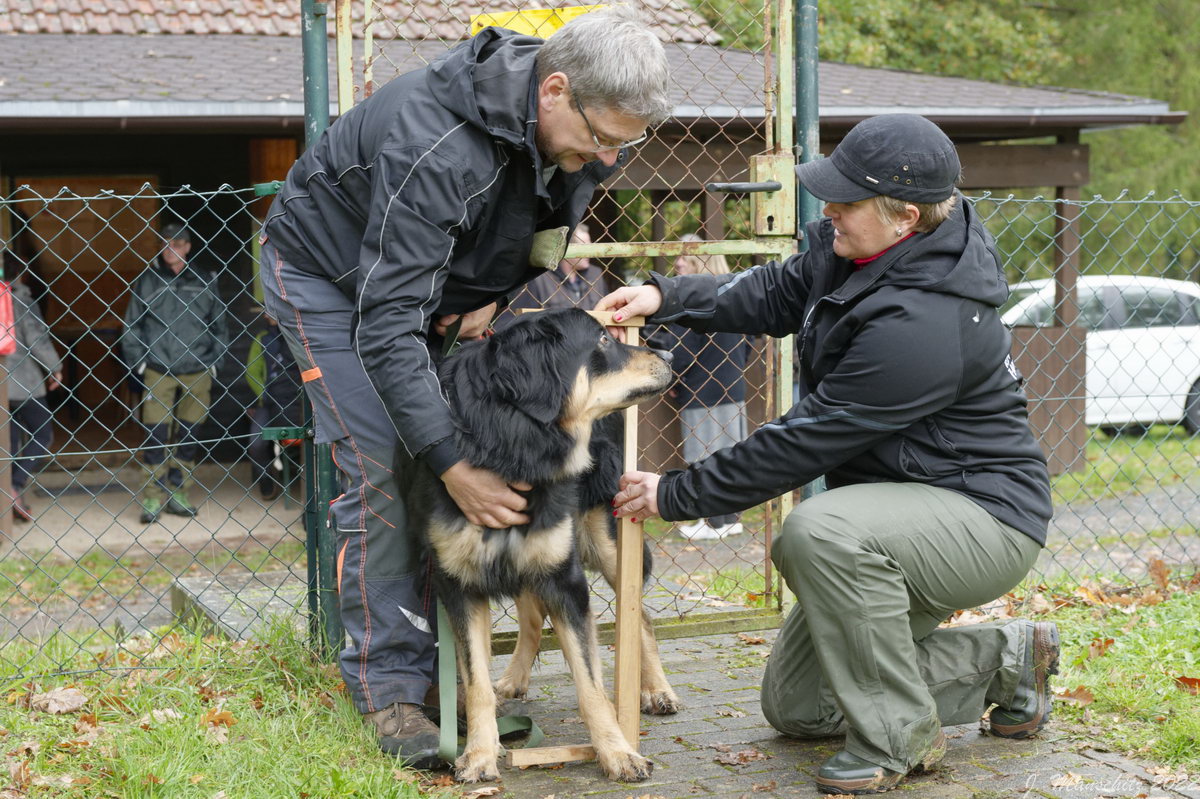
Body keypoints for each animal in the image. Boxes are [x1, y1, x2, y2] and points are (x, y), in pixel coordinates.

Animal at [408, 307, 681, 782]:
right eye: (602, 341)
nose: (668, 353)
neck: (511, 446)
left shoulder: (564, 579)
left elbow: (591, 685)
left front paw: (617, 752)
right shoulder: (459, 585)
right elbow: (476, 683)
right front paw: (479, 753)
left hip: (606, 543)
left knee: (640, 616)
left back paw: (656, 690)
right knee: (534, 620)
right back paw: (515, 680)